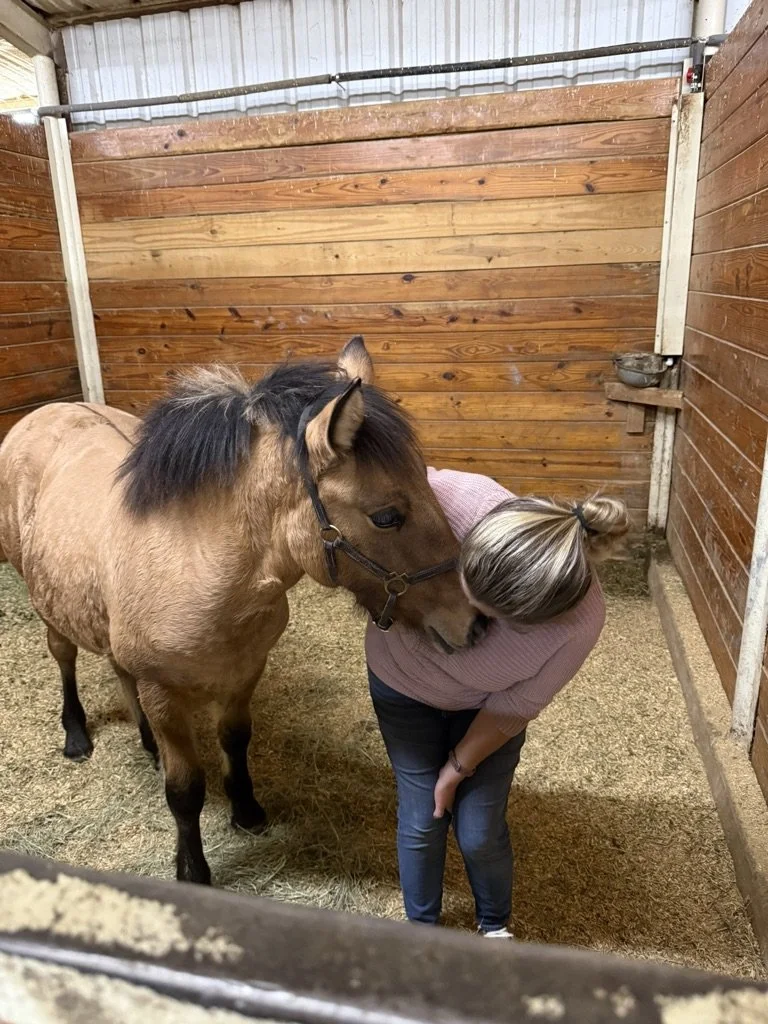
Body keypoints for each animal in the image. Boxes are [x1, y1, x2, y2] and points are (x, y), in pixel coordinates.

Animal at [0, 337, 482, 885]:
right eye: (386, 517)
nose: (473, 622)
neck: (200, 566)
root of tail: (45, 413)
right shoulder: (164, 696)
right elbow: (184, 790)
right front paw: (193, 869)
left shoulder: (244, 672)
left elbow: (235, 741)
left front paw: (247, 811)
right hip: (45, 604)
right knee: (64, 657)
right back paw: (77, 735)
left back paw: (145, 744)